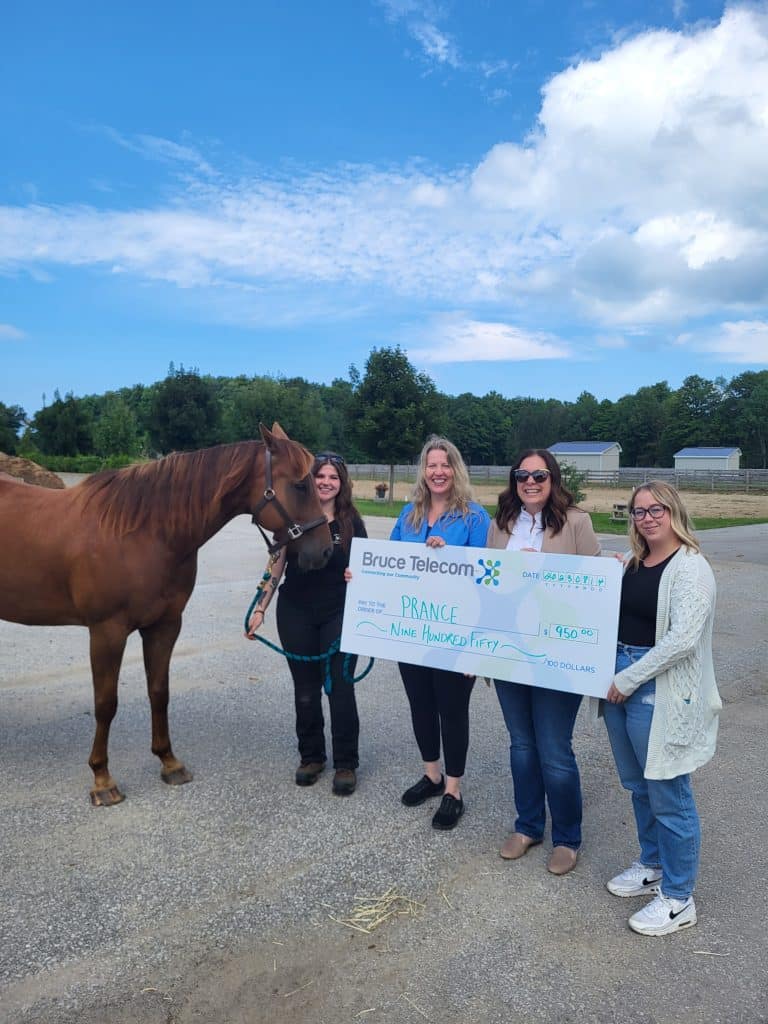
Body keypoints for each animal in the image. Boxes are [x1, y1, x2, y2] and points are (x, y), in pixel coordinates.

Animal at [0, 423, 333, 806]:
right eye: (300, 485)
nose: (324, 552)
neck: (143, 533)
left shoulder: (165, 625)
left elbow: (159, 691)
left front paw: (169, 763)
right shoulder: (107, 631)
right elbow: (105, 702)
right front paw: (102, 779)